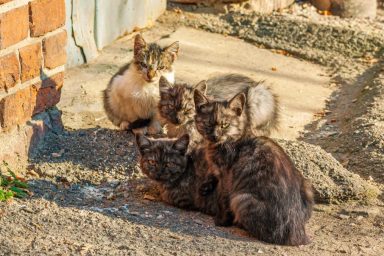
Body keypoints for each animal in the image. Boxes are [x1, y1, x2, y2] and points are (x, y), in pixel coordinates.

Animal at [194, 91, 314, 246]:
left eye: (225, 125)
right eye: (207, 123)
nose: (215, 135)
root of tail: (297, 235)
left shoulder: (227, 177)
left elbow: (222, 199)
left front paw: (221, 220)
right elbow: (211, 173)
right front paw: (205, 185)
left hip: (240, 199)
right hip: (306, 185)